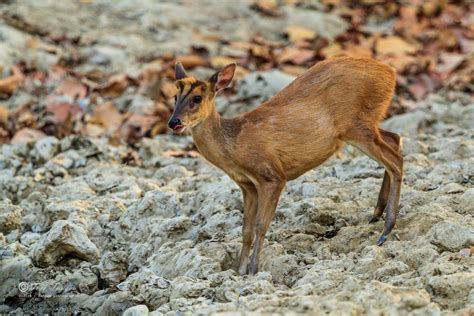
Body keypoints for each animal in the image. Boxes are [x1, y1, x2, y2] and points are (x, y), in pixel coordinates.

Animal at [168, 58, 402, 276]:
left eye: (197, 98)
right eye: (174, 97)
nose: (173, 122)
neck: (233, 145)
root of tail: (390, 72)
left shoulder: (271, 176)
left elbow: (261, 225)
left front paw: (253, 269)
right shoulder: (247, 185)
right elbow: (246, 229)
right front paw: (239, 270)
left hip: (355, 124)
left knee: (396, 161)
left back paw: (385, 230)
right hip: (365, 125)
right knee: (395, 139)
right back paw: (376, 214)